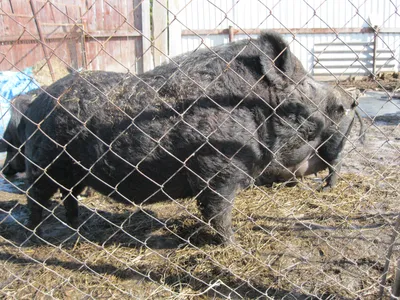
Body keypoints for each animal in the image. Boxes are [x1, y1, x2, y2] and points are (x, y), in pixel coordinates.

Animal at [20, 31, 354, 244]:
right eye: (307, 86)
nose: (348, 100)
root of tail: (36, 102)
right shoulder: (217, 168)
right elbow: (218, 212)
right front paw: (234, 245)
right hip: (43, 163)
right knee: (36, 197)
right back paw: (34, 235)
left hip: (72, 171)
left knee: (69, 196)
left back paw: (75, 227)